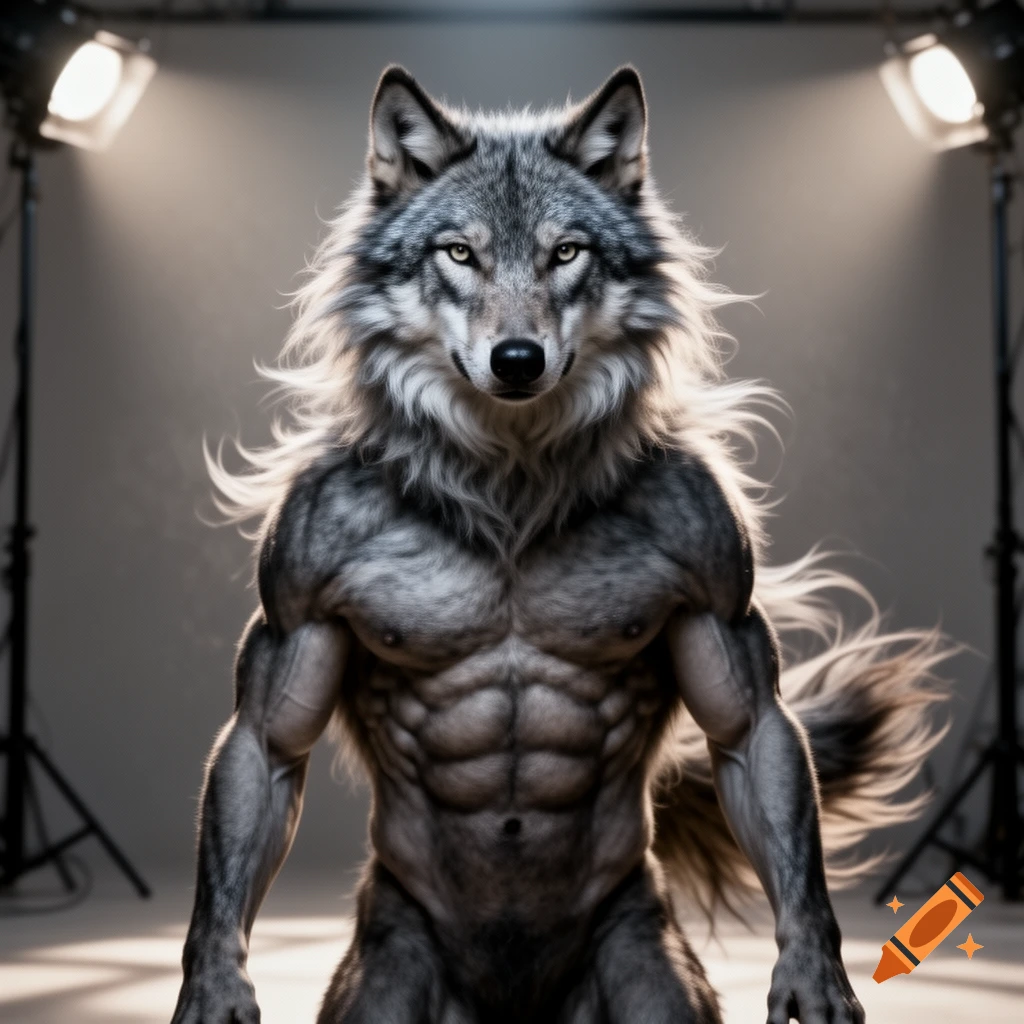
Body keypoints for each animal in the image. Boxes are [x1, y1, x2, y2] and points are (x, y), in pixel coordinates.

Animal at [171, 66, 949, 1024]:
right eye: (459, 254)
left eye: (566, 253)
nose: (516, 358)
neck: (511, 488)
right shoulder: (298, 593)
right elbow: (268, 745)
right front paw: (214, 982)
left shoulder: (714, 575)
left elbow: (748, 732)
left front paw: (814, 970)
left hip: (648, 970)